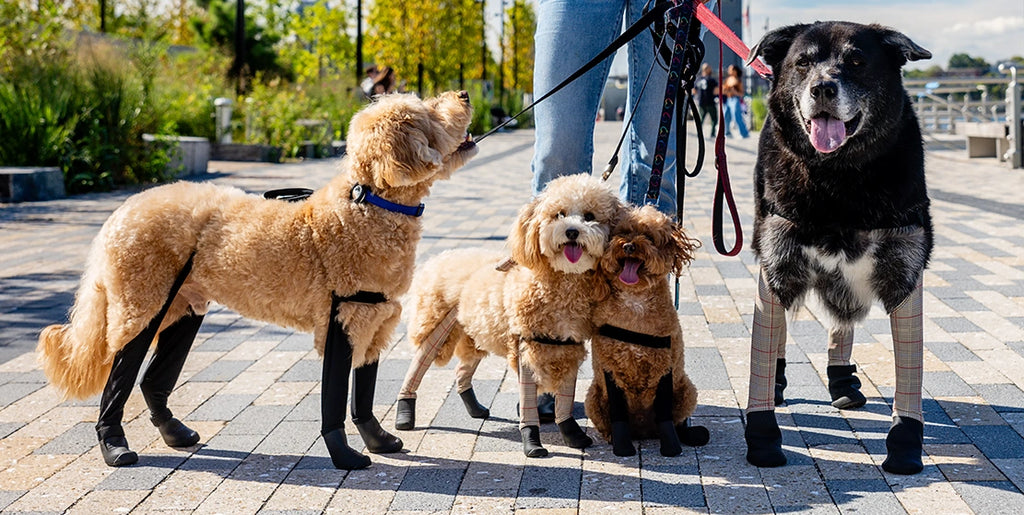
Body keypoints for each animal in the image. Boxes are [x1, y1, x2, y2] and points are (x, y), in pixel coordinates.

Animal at [36, 89, 475, 470]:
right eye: (428, 112)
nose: (465, 94)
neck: (370, 201)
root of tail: (123, 209)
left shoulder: (376, 319)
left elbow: (363, 393)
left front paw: (378, 440)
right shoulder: (342, 318)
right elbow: (334, 398)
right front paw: (344, 455)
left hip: (184, 306)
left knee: (153, 380)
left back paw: (174, 433)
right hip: (142, 303)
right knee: (120, 377)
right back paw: (114, 444)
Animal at [393, 175, 622, 456]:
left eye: (590, 216)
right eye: (559, 214)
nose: (571, 231)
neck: (561, 282)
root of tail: (438, 257)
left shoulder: (569, 347)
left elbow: (565, 401)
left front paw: (573, 435)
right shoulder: (527, 345)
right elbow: (528, 404)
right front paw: (532, 442)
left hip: (476, 332)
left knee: (462, 370)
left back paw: (474, 408)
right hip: (438, 324)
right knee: (418, 365)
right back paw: (405, 414)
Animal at [585, 205, 712, 454]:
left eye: (650, 237)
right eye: (622, 232)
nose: (628, 246)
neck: (635, 303)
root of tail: (643, 431)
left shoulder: (665, 366)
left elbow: (665, 418)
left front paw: (672, 448)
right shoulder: (610, 368)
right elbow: (618, 416)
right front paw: (622, 446)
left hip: (687, 390)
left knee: (676, 419)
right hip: (593, 397)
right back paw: (610, 436)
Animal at [745, 22, 937, 475]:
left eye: (857, 61)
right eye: (802, 62)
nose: (823, 88)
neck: (839, 178)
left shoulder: (906, 271)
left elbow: (909, 375)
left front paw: (905, 444)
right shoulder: (776, 264)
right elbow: (764, 347)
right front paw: (762, 438)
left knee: (841, 325)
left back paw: (842, 379)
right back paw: (781, 376)